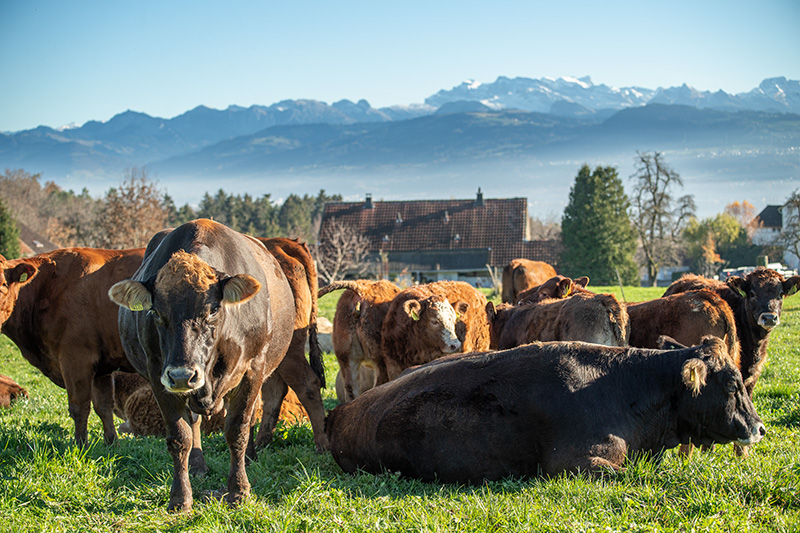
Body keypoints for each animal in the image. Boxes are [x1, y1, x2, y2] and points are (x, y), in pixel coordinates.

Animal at [0, 247, 144, 442]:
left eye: (2, 285)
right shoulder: (102, 367)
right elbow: (104, 407)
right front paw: (111, 444)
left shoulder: (76, 357)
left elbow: (79, 407)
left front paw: (81, 444)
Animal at [106, 218, 294, 510]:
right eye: (156, 313)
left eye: (213, 310)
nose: (183, 375)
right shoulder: (158, 376)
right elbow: (179, 436)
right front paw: (180, 497)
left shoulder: (253, 370)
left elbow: (238, 429)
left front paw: (239, 490)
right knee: (193, 424)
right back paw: (197, 466)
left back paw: (250, 457)